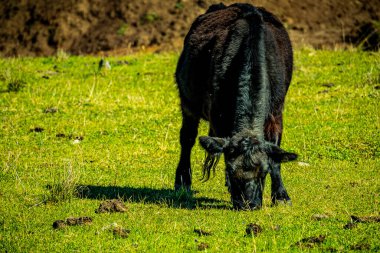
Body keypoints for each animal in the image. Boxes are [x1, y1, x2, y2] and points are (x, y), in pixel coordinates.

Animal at [174, 2, 296, 210]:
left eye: (263, 172)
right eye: (231, 171)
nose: (248, 204)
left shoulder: (276, 113)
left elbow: (276, 156)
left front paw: (281, 196)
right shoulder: (218, 116)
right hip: (188, 102)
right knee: (187, 138)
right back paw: (182, 181)